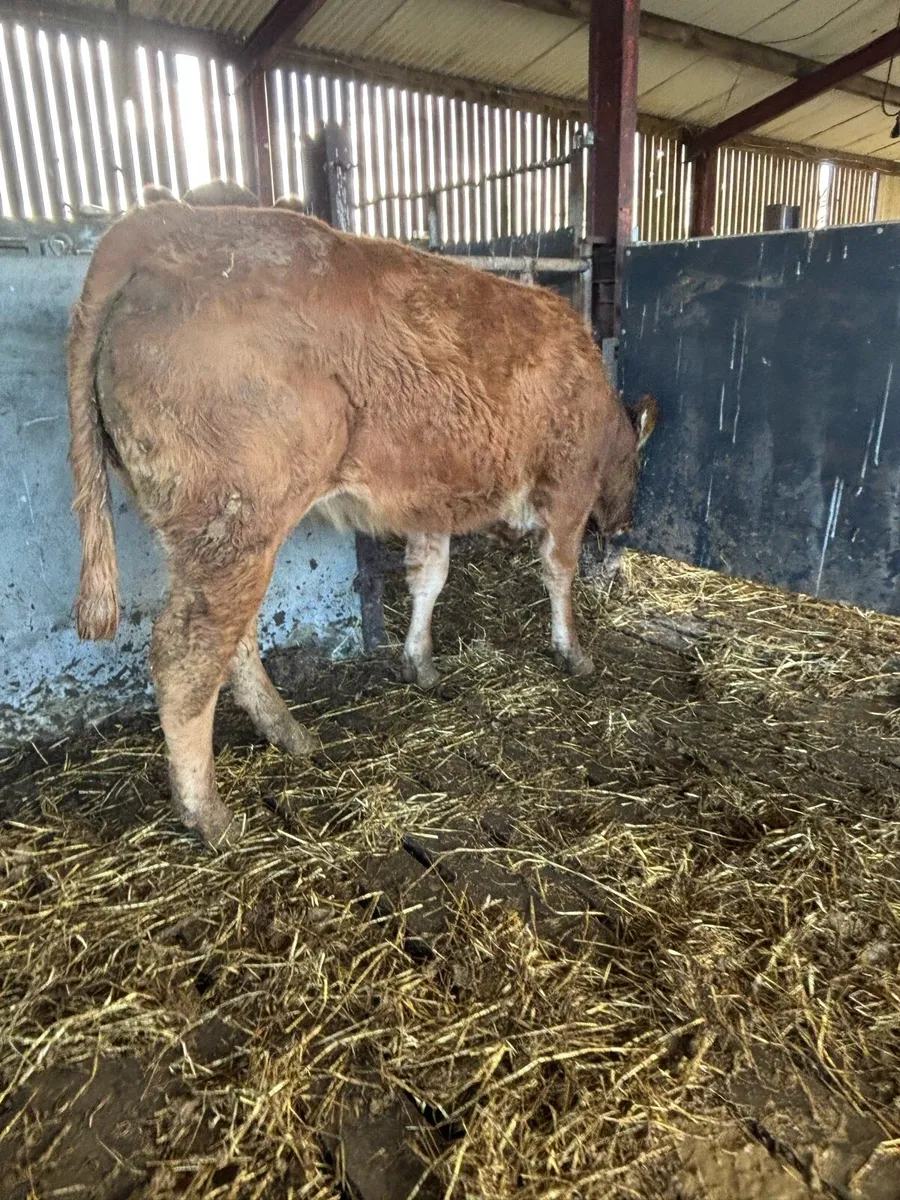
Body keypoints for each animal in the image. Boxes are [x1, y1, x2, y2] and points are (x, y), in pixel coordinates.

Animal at [67, 203, 656, 846]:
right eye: (638, 466)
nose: (624, 526)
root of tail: (154, 225)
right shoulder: (567, 487)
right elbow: (558, 572)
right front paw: (572, 651)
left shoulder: (432, 500)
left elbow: (429, 577)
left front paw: (419, 662)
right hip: (234, 522)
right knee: (186, 654)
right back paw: (209, 813)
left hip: (215, 536)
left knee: (234, 641)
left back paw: (290, 735)